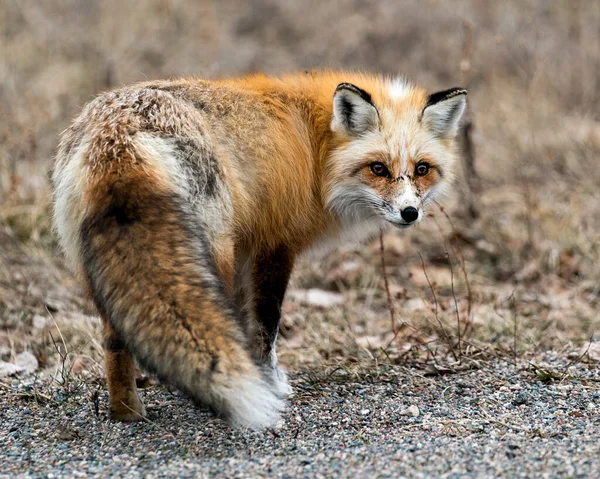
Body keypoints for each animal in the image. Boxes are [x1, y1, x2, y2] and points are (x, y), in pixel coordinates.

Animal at [51, 72, 466, 432]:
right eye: (378, 168)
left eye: (422, 169)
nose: (410, 213)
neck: (316, 145)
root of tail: (119, 131)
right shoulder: (274, 245)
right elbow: (266, 324)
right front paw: (269, 381)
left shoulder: (246, 249)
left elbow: (244, 323)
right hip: (212, 254)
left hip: (113, 266)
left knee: (115, 339)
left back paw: (127, 412)